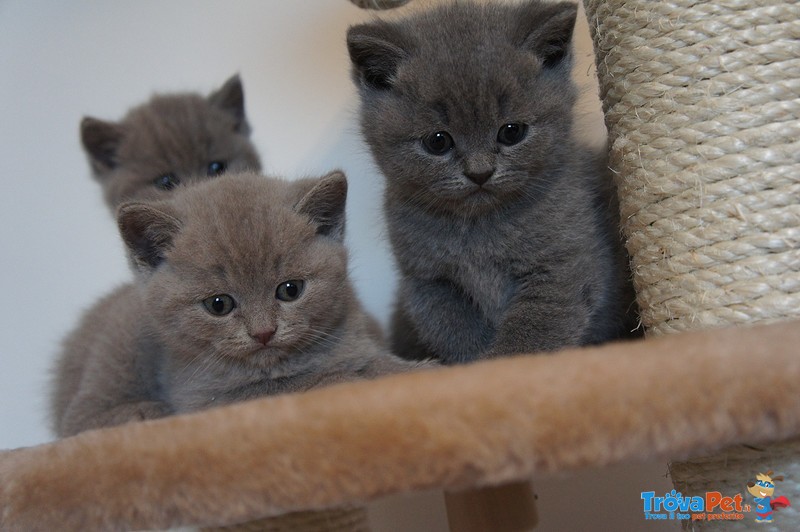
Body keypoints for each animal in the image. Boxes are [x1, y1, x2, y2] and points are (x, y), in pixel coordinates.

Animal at [50, 170, 432, 436]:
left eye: (290, 290)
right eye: (218, 305)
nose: (263, 332)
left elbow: (376, 364)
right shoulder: (207, 399)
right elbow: (302, 385)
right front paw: (350, 380)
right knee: (76, 421)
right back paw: (143, 411)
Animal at [346, 0, 640, 364]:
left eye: (511, 132)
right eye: (437, 142)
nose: (479, 172)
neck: (478, 230)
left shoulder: (562, 266)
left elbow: (534, 334)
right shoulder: (429, 282)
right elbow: (455, 332)